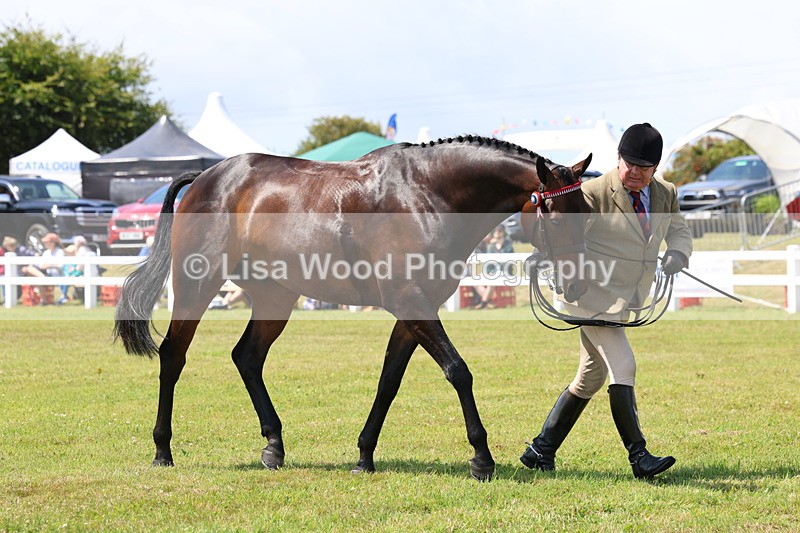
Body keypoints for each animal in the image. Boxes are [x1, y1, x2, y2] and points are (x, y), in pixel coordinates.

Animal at [114, 135, 592, 481]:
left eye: (586, 212)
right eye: (558, 213)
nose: (577, 282)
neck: (428, 195)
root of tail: (205, 177)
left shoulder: (412, 311)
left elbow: (388, 382)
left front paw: (364, 456)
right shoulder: (412, 303)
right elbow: (458, 371)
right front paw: (482, 458)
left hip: (274, 297)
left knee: (246, 357)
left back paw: (273, 447)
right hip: (197, 285)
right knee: (174, 355)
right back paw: (162, 450)